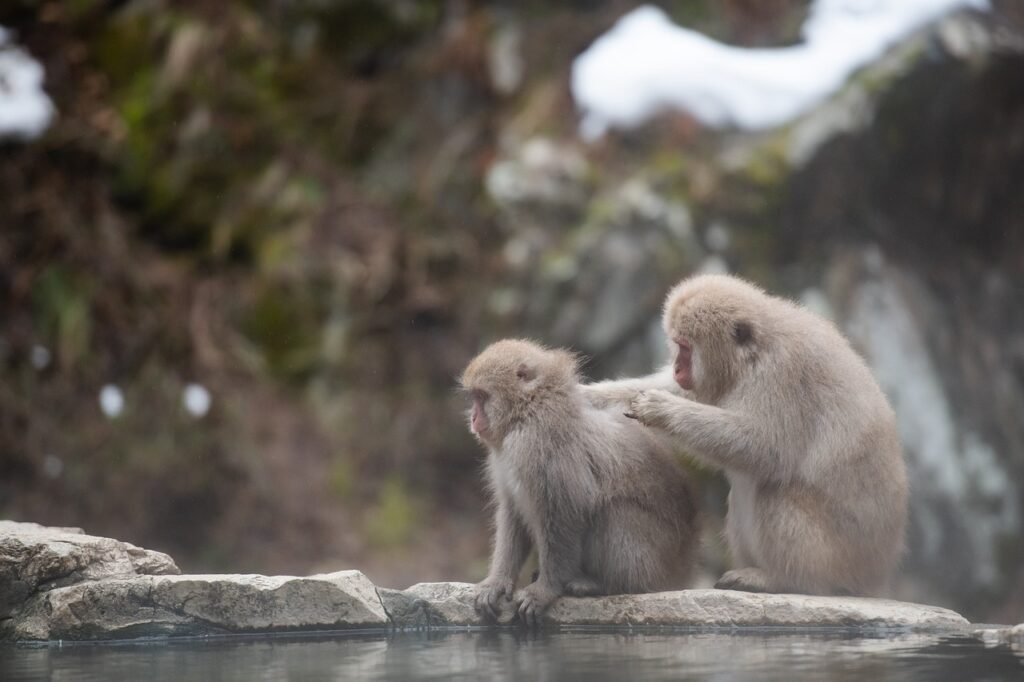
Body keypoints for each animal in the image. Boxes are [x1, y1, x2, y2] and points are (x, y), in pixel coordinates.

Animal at [460, 337, 700, 622]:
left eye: (482, 397)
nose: (473, 418)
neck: (528, 410)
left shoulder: (537, 444)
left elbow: (563, 511)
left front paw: (545, 590)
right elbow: (513, 512)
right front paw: (497, 582)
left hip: (656, 561)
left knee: (614, 511)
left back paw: (605, 585)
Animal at [581, 274, 909, 593]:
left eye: (685, 348)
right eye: (677, 345)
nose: (676, 368)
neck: (753, 356)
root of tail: (876, 574)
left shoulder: (782, 373)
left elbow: (765, 447)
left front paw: (662, 409)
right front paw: (587, 395)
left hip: (839, 560)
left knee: (775, 489)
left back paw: (783, 580)